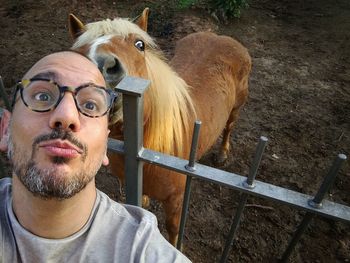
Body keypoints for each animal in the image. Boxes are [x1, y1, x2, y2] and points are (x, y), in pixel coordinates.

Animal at [68, 8, 250, 246]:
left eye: (139, 44)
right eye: (77, 52)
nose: (100, 66)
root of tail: (221, 37)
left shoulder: (175, 200)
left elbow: (173, 230)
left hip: (236, 107)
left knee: (229, 127)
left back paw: (223, 154)